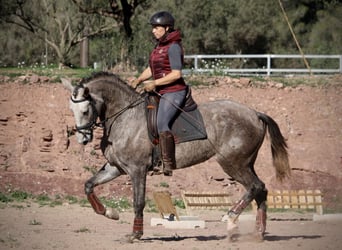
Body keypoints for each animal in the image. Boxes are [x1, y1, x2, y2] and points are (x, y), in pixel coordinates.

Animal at [61, 72, 288, 242]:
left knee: (255, 187)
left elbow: (138, 202)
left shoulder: (137, 169)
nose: (82, 138)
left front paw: (136, 234)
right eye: (71, 109)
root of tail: (254, 113)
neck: (124, 117)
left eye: (85, 110)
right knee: (261, 191)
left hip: (232, 163)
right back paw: (258, 233)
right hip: (246, 163)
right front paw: (110, 213)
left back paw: (230, 217)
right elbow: (89, 185)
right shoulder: (115, 167)